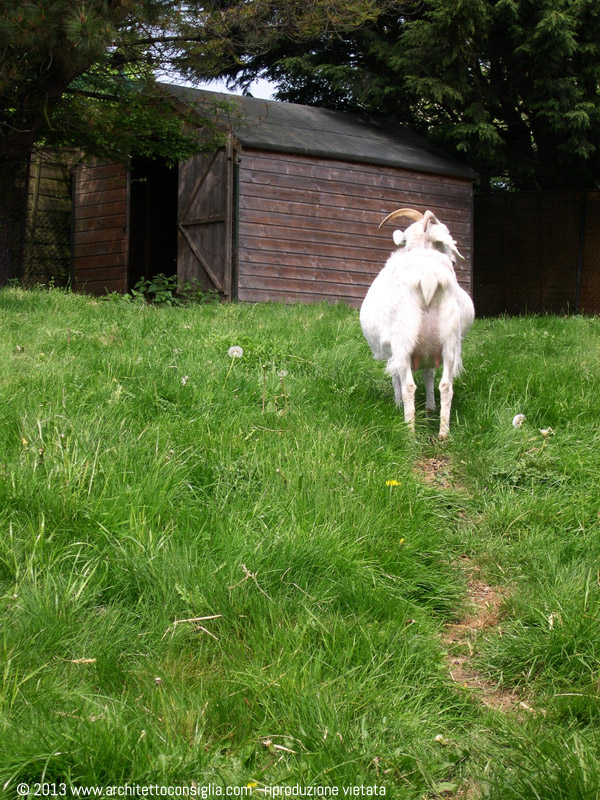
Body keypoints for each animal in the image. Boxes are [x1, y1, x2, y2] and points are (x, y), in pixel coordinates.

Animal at [360, 208, 474, 439]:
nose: (455, 261)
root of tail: (429, 275)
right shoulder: (429, 352)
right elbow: (429, 375)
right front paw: (430, 408)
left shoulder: (394, 352)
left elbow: (396, 378)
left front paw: (397, 405)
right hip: (450, 338)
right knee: (446, 386)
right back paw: (443, 434)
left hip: (404, 338)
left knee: (409, 386)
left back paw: (409, 432)